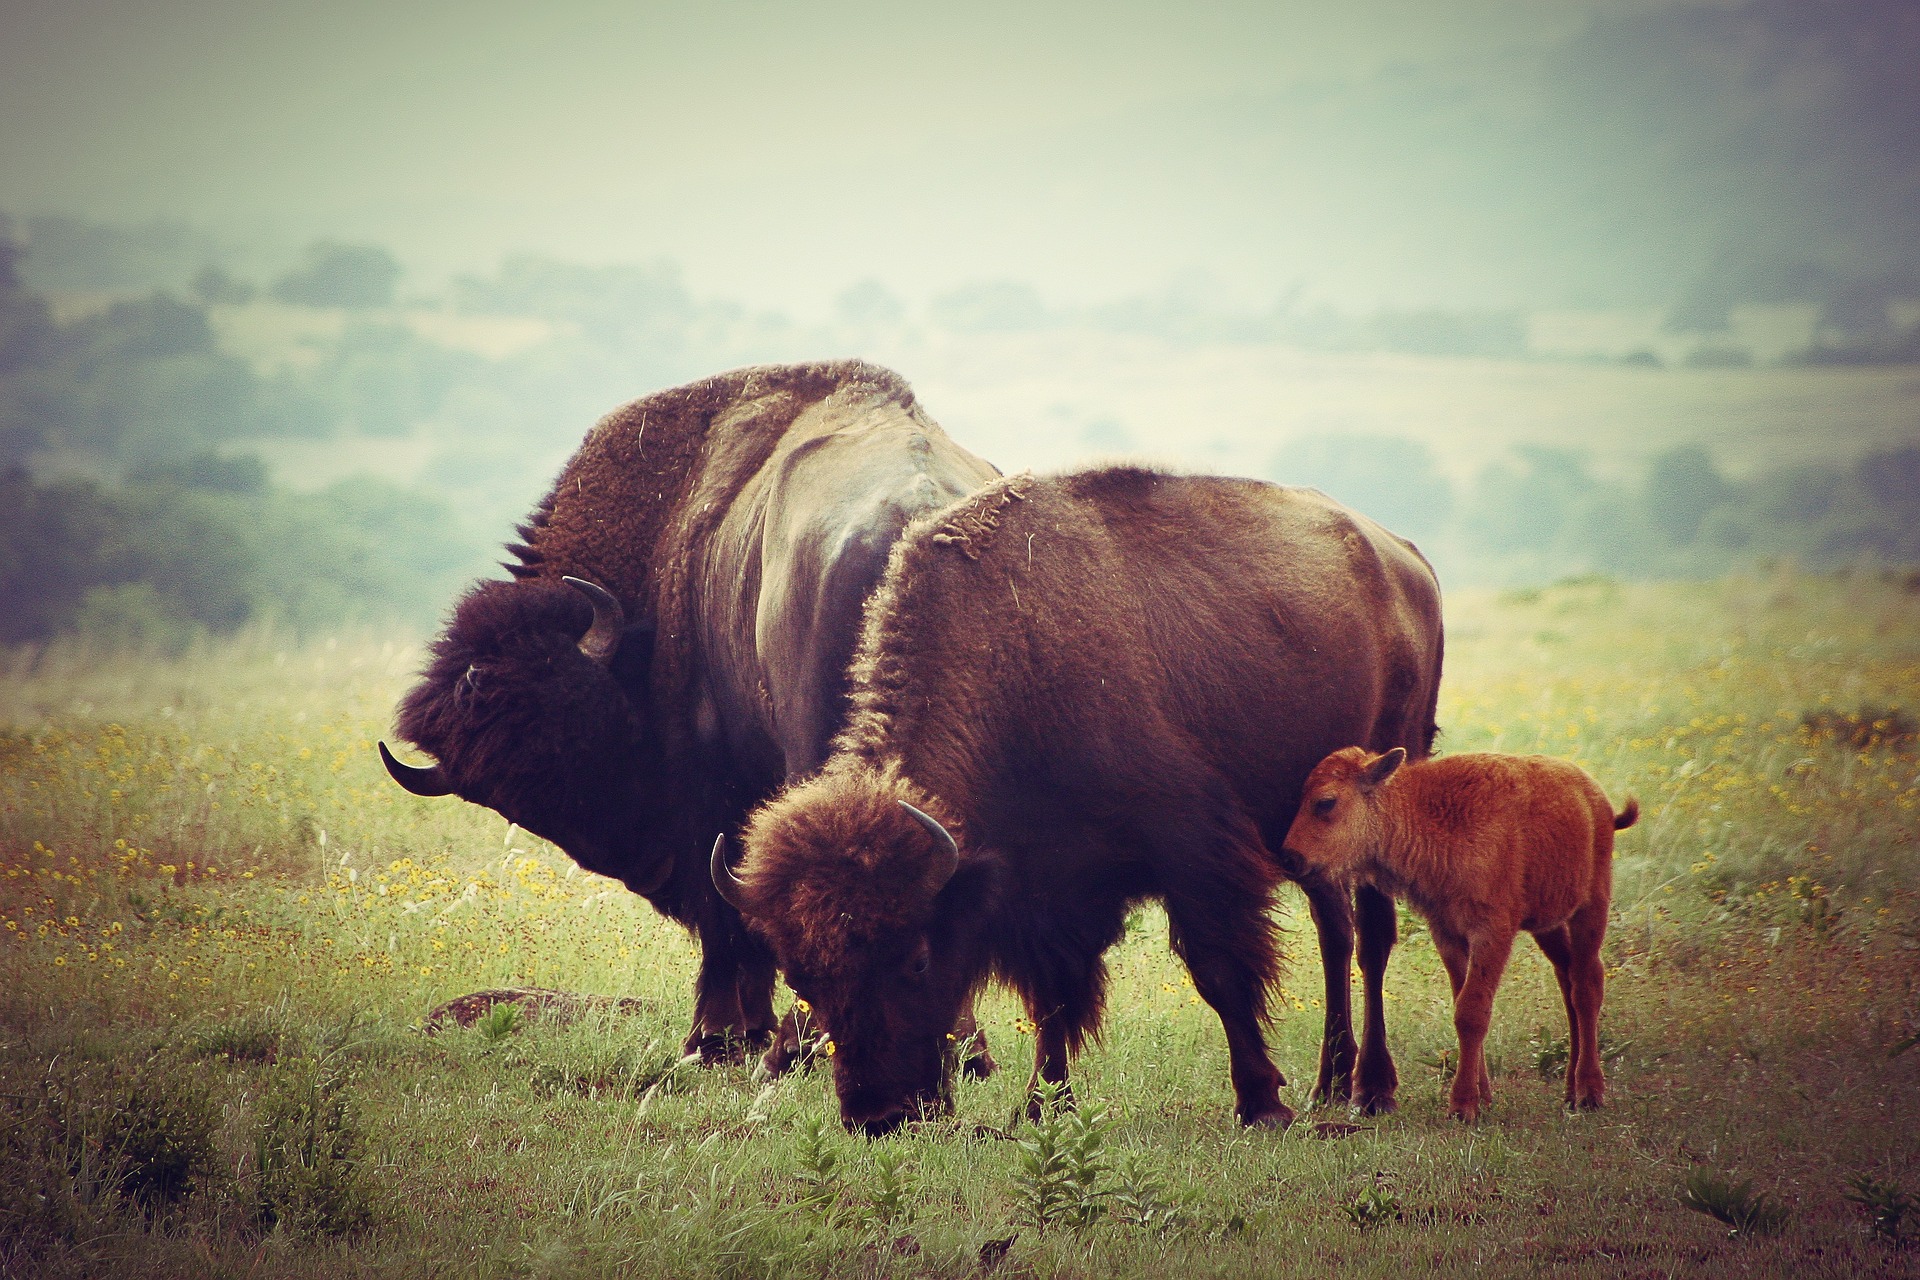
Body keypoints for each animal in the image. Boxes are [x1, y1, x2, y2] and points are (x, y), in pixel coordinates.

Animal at [380, 358, 998, 1059]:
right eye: (514, 798)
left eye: (580, 743)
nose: (646, 862)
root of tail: (919, 513)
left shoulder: (711, 791)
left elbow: (727, 909)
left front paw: (716, 1036)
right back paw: (957, 1046)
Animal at [718, 468, 1443, 1128]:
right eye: (803, 978)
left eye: (917, 958)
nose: (879, 1115)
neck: (1014, 659)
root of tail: (1406, 560)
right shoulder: (1047, 887)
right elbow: (1055, 997)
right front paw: (1044, 1107)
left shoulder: (1191, 849)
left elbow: (1217, 970)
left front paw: (1261, 1102)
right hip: (1311, 838)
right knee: (1334, 931)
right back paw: (1330, 1083)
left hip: (1385, 785)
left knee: (1373, 936)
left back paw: (1371, 1090)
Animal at [1290, 752, 1635, 1120]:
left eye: (1325, 802)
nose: (1289, 856)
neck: (1424, 811)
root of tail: (1596, 797)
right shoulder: (1447, 932)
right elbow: (1462, 1004)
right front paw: (1482, 1097)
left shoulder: (1492, 932)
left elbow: (1472, 1011)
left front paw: (1462, 1106)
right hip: (1549, 925)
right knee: (1567, 979)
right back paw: (1570, 1090)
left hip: (1591, 907)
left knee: (1586, 985)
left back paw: (1589, 1092)